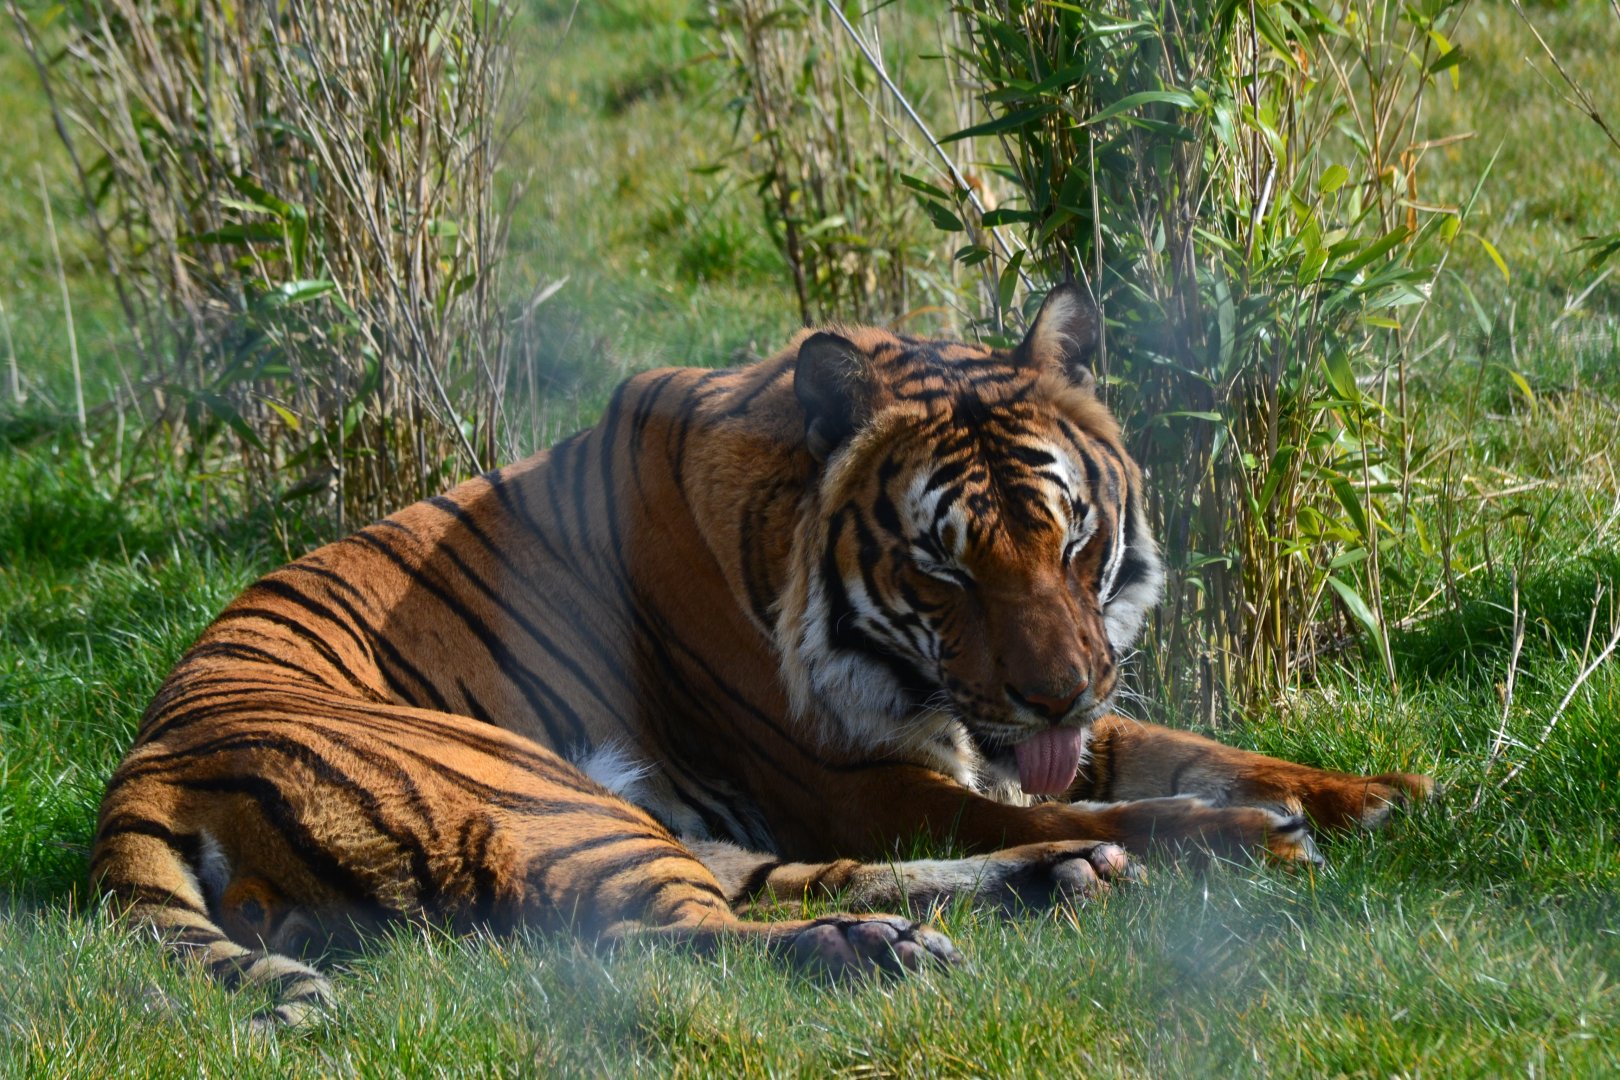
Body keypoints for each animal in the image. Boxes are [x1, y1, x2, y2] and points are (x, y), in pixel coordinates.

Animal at [92, 283, 1433, 1026]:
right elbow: (1089, 800)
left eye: (1073, 538)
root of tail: (146, 767)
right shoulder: (854, 780)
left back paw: (1047, 887)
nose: (1055, 691)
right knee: (658, 941)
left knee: (762, 888)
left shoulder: (1028, 723)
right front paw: (1260, 836)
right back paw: (888, 947)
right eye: (947, 567)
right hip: (543, 792)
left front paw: (1375, 794)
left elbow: (1178, 750)